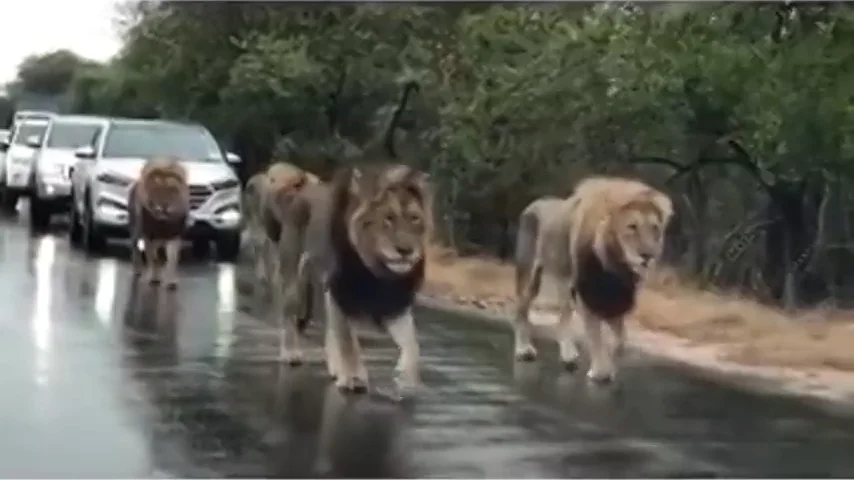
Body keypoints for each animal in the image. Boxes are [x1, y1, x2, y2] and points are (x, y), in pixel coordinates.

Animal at [127, 157, 191, 288]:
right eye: (157, 190)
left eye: (172, 191)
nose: (164, 206)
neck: (163, 221)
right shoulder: (149, 236)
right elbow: (154, 258)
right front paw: (155, 278)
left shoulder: (174, 235)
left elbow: (172, 258)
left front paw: (172, 281)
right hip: (135, 231)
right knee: (136, 249)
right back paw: (137, 270)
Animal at [516, 176, 676, 382]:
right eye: (632, 227)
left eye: (655, 228)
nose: (648, 256)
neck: (615, 266)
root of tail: (534, 203)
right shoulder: (588, 295)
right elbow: (595, 337)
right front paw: (600, 373)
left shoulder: (616, 301)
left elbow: (620, 340)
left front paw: (611, 360)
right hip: (530, 276)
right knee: (521, 311)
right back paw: (524, 350)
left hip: (564, 283)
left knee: (563, 315)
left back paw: (568, 357)